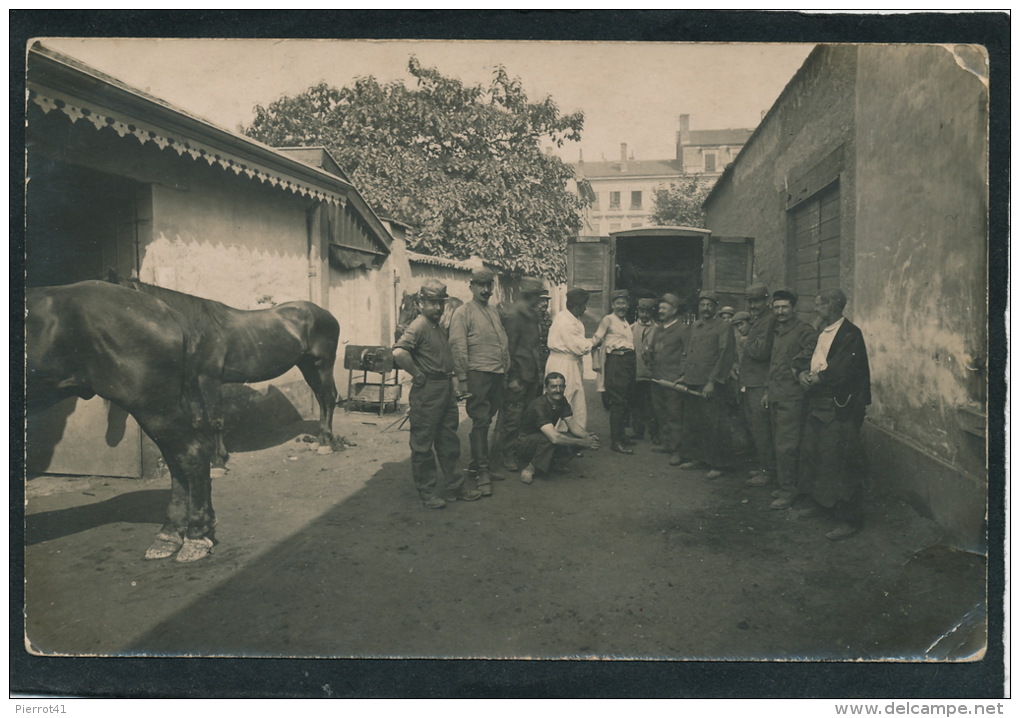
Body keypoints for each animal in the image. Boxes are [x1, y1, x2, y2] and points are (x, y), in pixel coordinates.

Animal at [26, 281, 216, 562]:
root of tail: (162, 308)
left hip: (152, 406)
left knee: (191, 453)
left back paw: (194, 537)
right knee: (177, 460)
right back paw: (170, 535)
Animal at [112, 273, 342, 471]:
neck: (194, 328)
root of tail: (326, 314)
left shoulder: (209, 381)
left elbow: (215, 420)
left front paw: (217, 462)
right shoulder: (192, 385)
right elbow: (198, 422)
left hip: (322, 364)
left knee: (329, 397)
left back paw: (326, 443)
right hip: (308, 366)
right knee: (321, 398)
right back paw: (320, 439)